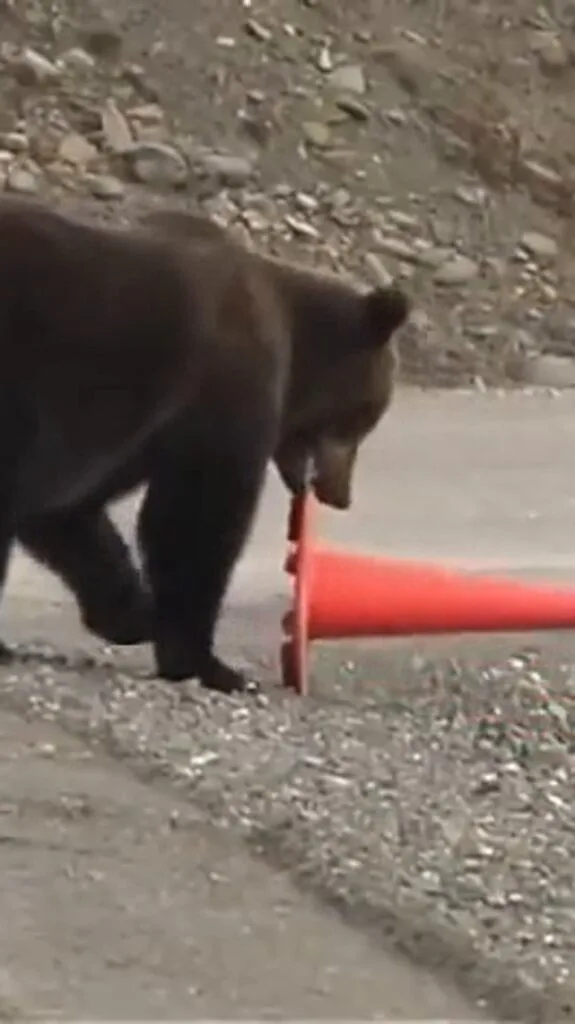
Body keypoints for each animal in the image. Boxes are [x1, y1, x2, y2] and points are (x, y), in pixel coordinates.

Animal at [0, 196, 410, 694]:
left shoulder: (131, 429)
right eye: (368, 416)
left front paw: (132, 614)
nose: (341, 495)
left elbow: (70, 512)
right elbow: (196, 518)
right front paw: (210, 663)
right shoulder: (220, 390)